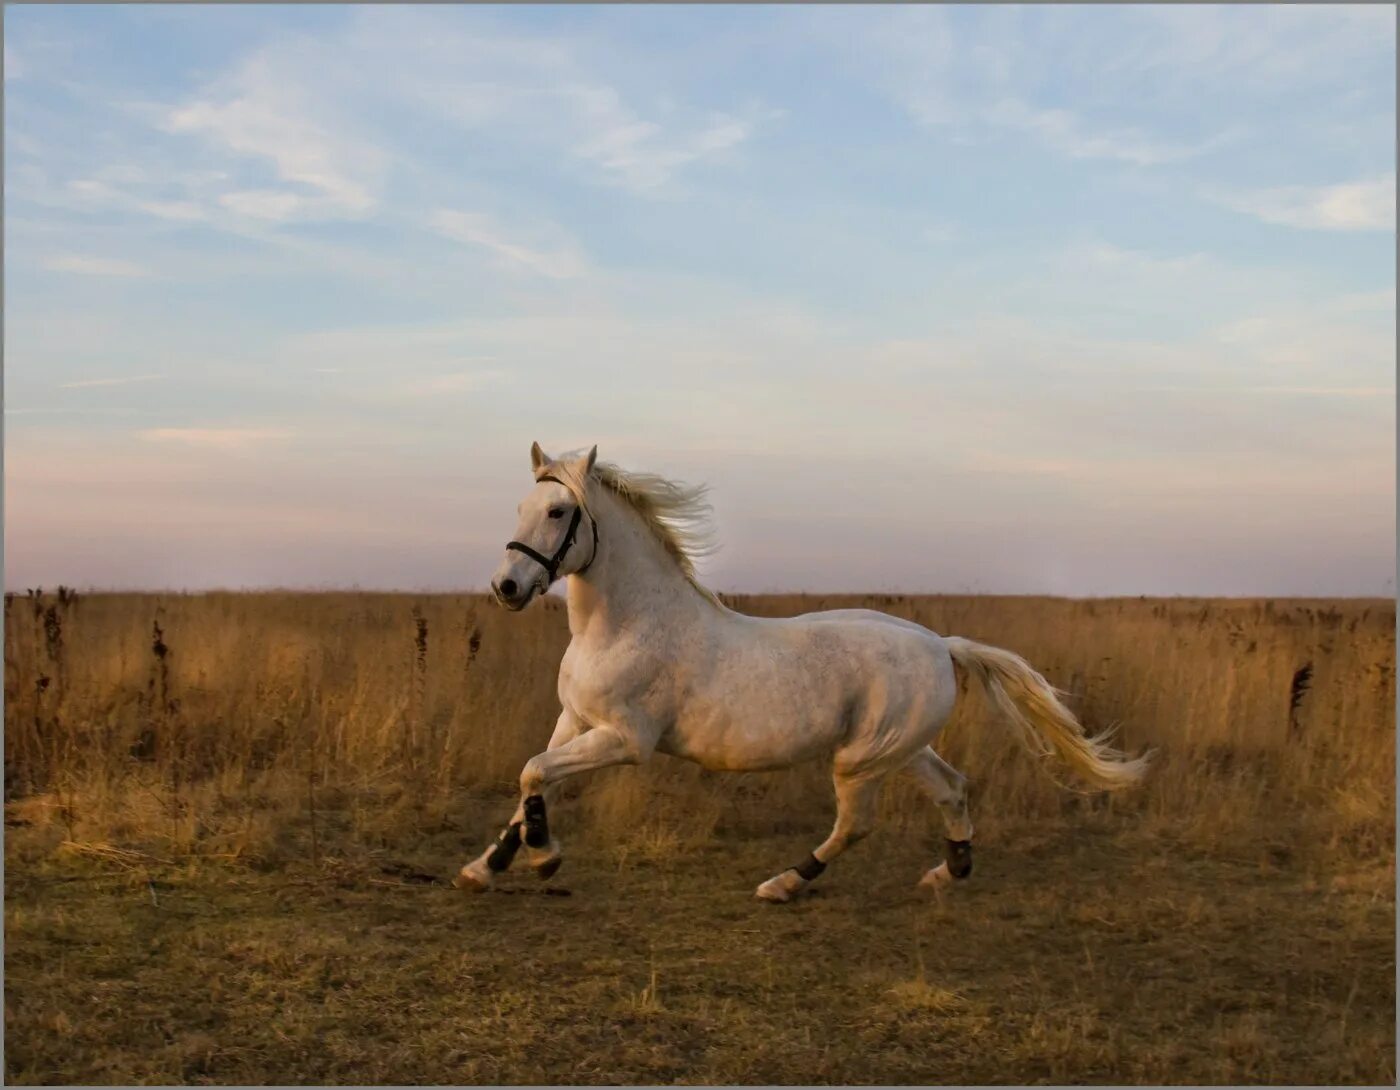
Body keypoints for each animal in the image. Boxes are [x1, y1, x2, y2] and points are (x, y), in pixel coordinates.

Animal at [459, 442, 1148, 901]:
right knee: (952, 788)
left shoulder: (627, 741)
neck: (624, 625)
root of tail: (940, 645)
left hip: (860, 760)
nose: (506, 587)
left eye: (558, 512)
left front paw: (544, 859)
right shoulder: (574, 720)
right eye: (522, 504)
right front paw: (487, 866)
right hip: (902, 749)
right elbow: (532, 782)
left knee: (855, 824)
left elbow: (534, 775)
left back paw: (785, 882)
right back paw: (947, 871)